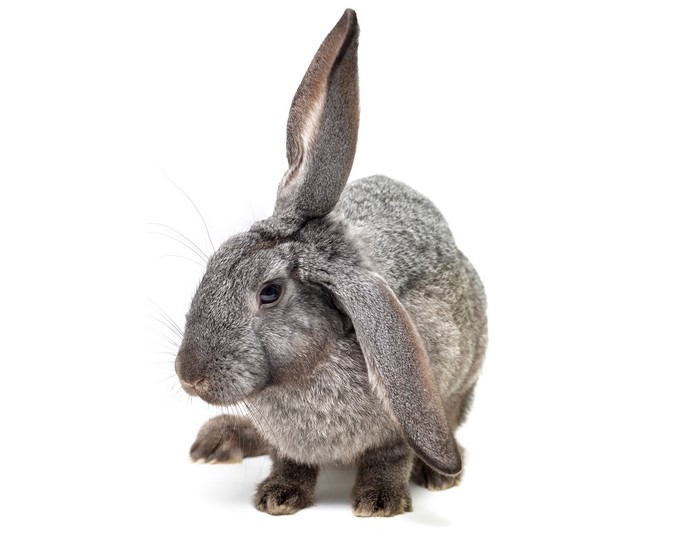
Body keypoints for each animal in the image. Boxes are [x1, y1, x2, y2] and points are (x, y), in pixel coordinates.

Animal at [175, 9, 487, 517]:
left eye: (270, 292)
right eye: (215, 261)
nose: (189, 375)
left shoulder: (411, 402)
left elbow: (390, 455)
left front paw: (380, 501)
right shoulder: (289, 443)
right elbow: (288, 458)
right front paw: (279, 497)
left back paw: (437, 474)